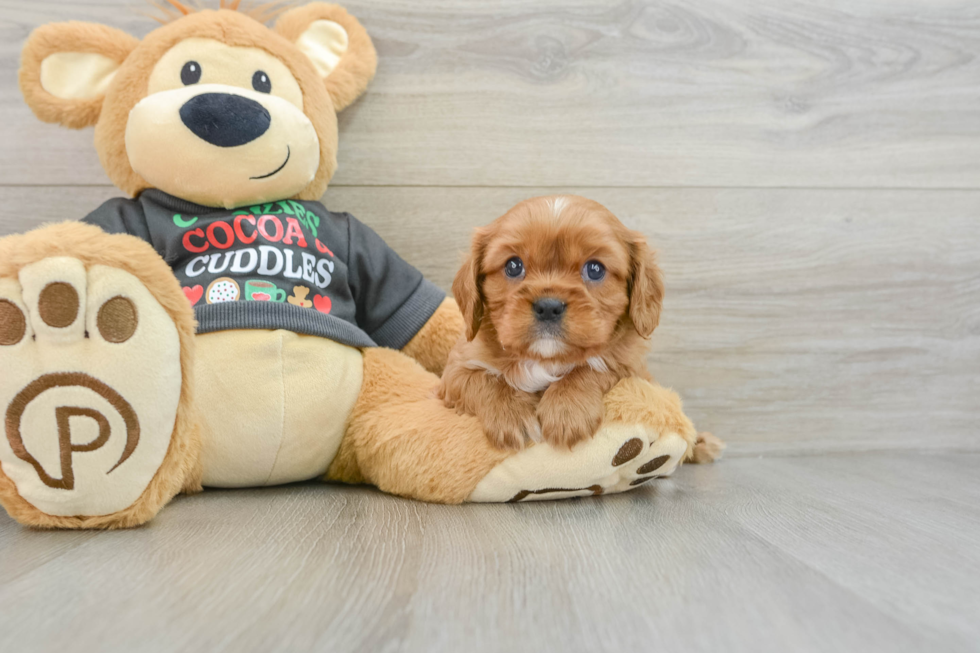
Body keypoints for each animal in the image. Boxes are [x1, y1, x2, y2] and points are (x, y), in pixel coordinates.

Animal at [438, 195, 664, 448]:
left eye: (595, 269)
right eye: (513, 266)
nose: (548, 307)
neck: (544, 359)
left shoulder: (632, 370)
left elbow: (595, 367)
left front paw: (566, 410)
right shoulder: (454, 373)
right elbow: (486, 379)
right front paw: (512, 415)